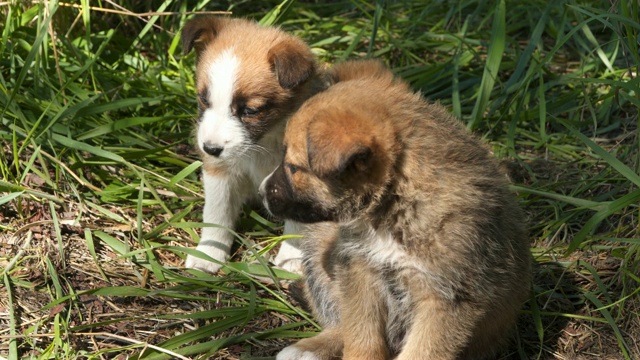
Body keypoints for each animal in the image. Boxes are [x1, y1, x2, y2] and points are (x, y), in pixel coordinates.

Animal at [182, 15, 328, 272]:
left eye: (250, 111)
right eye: (203, 99)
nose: (210, 149)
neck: (265, 143)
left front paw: (292, 258)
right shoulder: (220, 172)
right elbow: (217, 213)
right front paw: (208, 253)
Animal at [258, 60, 532, 358]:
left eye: (293, 168)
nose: (261, 192)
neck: (395, 209)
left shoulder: (447, 300)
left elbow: (423, 351)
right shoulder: (359, 269)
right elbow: (361, 336)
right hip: (319, 250)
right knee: (339, 322)